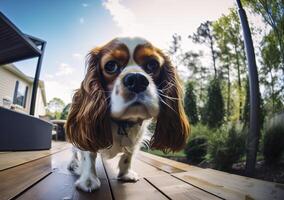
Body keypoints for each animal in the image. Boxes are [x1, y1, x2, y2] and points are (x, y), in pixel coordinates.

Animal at [65, 36, 190, 191]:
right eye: (111, 66)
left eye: (153, 65)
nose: (137, 80)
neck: (122, 122)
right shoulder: (87, 136)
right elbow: (87, 157)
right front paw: (88, 181)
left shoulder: (136, 139)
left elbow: (128, 156)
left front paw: (125, 174)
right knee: (74, 151)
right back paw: (73, 164)